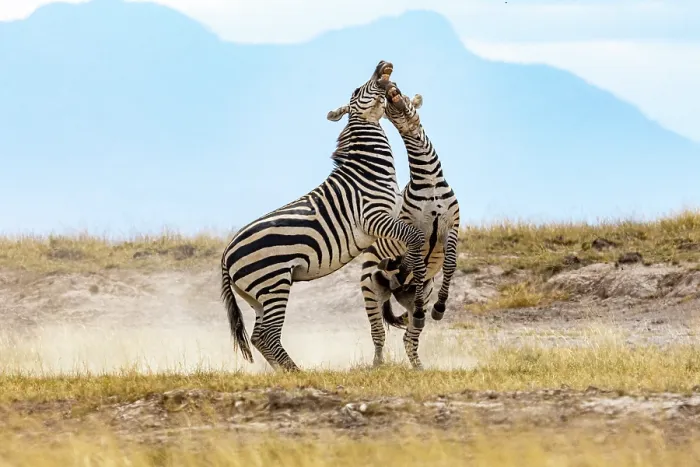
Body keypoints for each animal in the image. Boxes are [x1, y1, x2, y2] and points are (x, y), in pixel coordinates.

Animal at [220, 61, 429, 372]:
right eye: (357, 89)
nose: (382, 64)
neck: (368, 170)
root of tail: (226, 253)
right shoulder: (373, 217)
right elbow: (414, 236)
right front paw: (409, 270)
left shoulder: (389, 219)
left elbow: (407, 239)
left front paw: (402, 270)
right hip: (273, 281)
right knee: (268, 333)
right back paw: (296, 372)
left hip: (255, 293)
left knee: (259, 335)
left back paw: (284, 372)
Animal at [359, 84, 461, 370]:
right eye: (390, 111)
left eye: (404, 98)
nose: (392, 89)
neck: (430, 181)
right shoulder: (415, 232)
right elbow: (417, 264)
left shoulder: (451, 228)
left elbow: (450, 264)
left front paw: (440, 308)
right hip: (371, 290)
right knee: (378, 333)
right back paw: (377, 365)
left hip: (421, 291)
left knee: (409, 337)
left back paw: (418, 366)